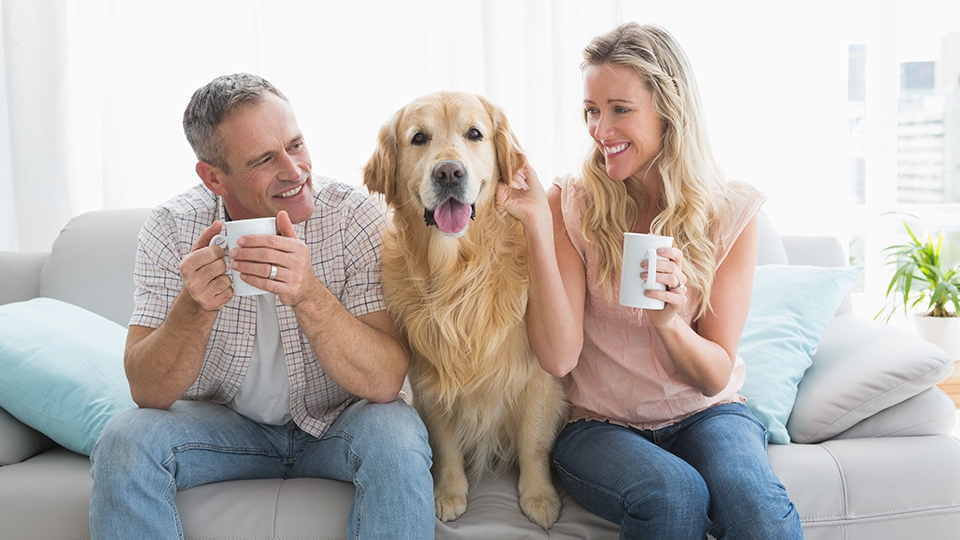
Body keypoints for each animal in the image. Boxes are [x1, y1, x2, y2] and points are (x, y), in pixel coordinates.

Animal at [364, 92, 568, 528]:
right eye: (418, 138)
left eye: (474, 134)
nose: (449, 173)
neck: (458, 272)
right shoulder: (429, 379)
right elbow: (445, 443)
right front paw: (449, 492)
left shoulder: (535, 376)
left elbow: (533, 442)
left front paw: (539, 496)